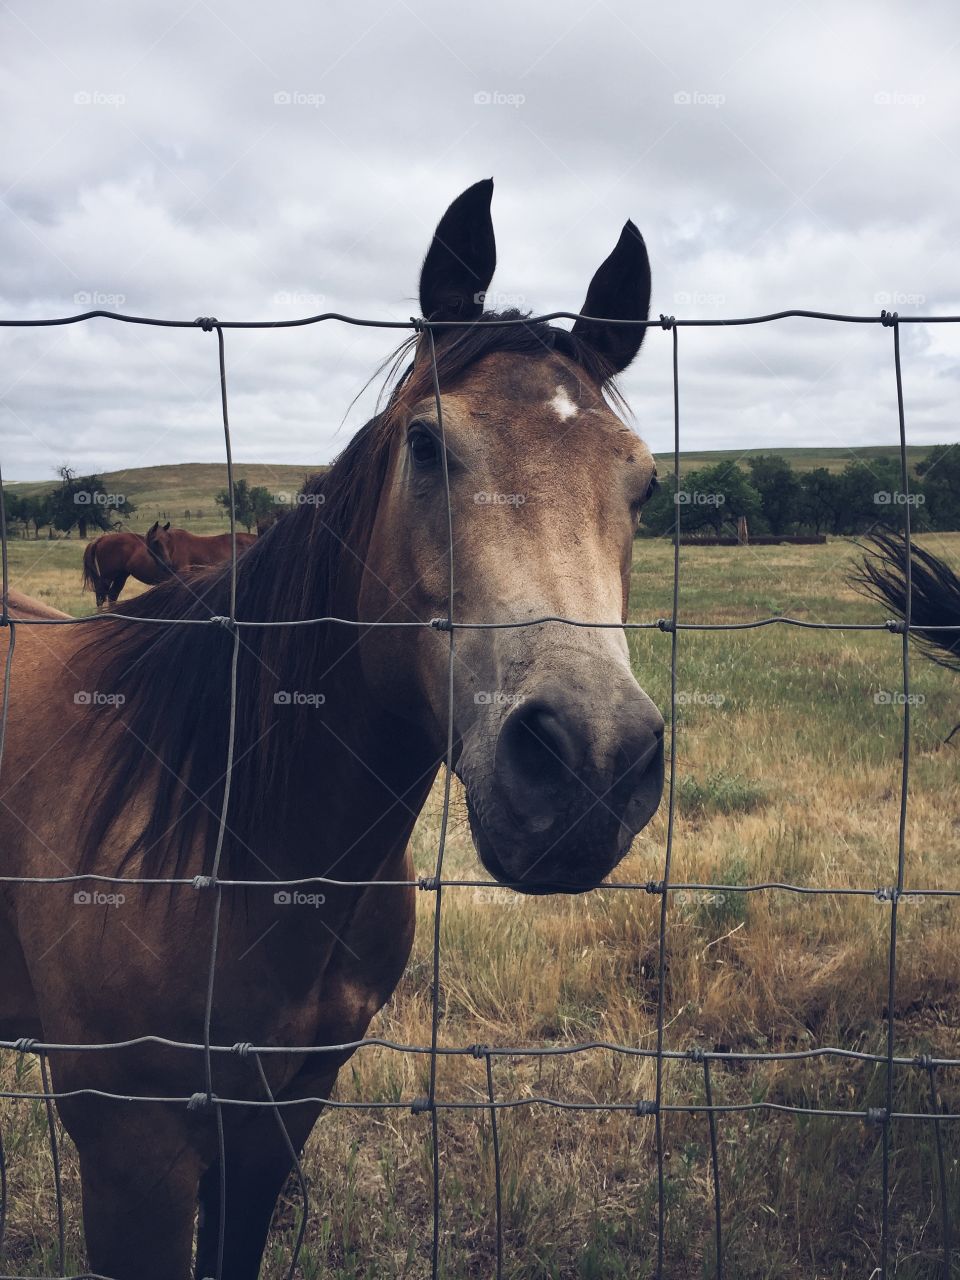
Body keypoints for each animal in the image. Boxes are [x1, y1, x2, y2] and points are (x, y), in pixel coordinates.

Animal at [0, 180, 670, 1280]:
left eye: (643, 482)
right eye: (428, 445)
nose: (590, 763)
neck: (238, 835)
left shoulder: (278, 1116)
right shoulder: (131, 1148)